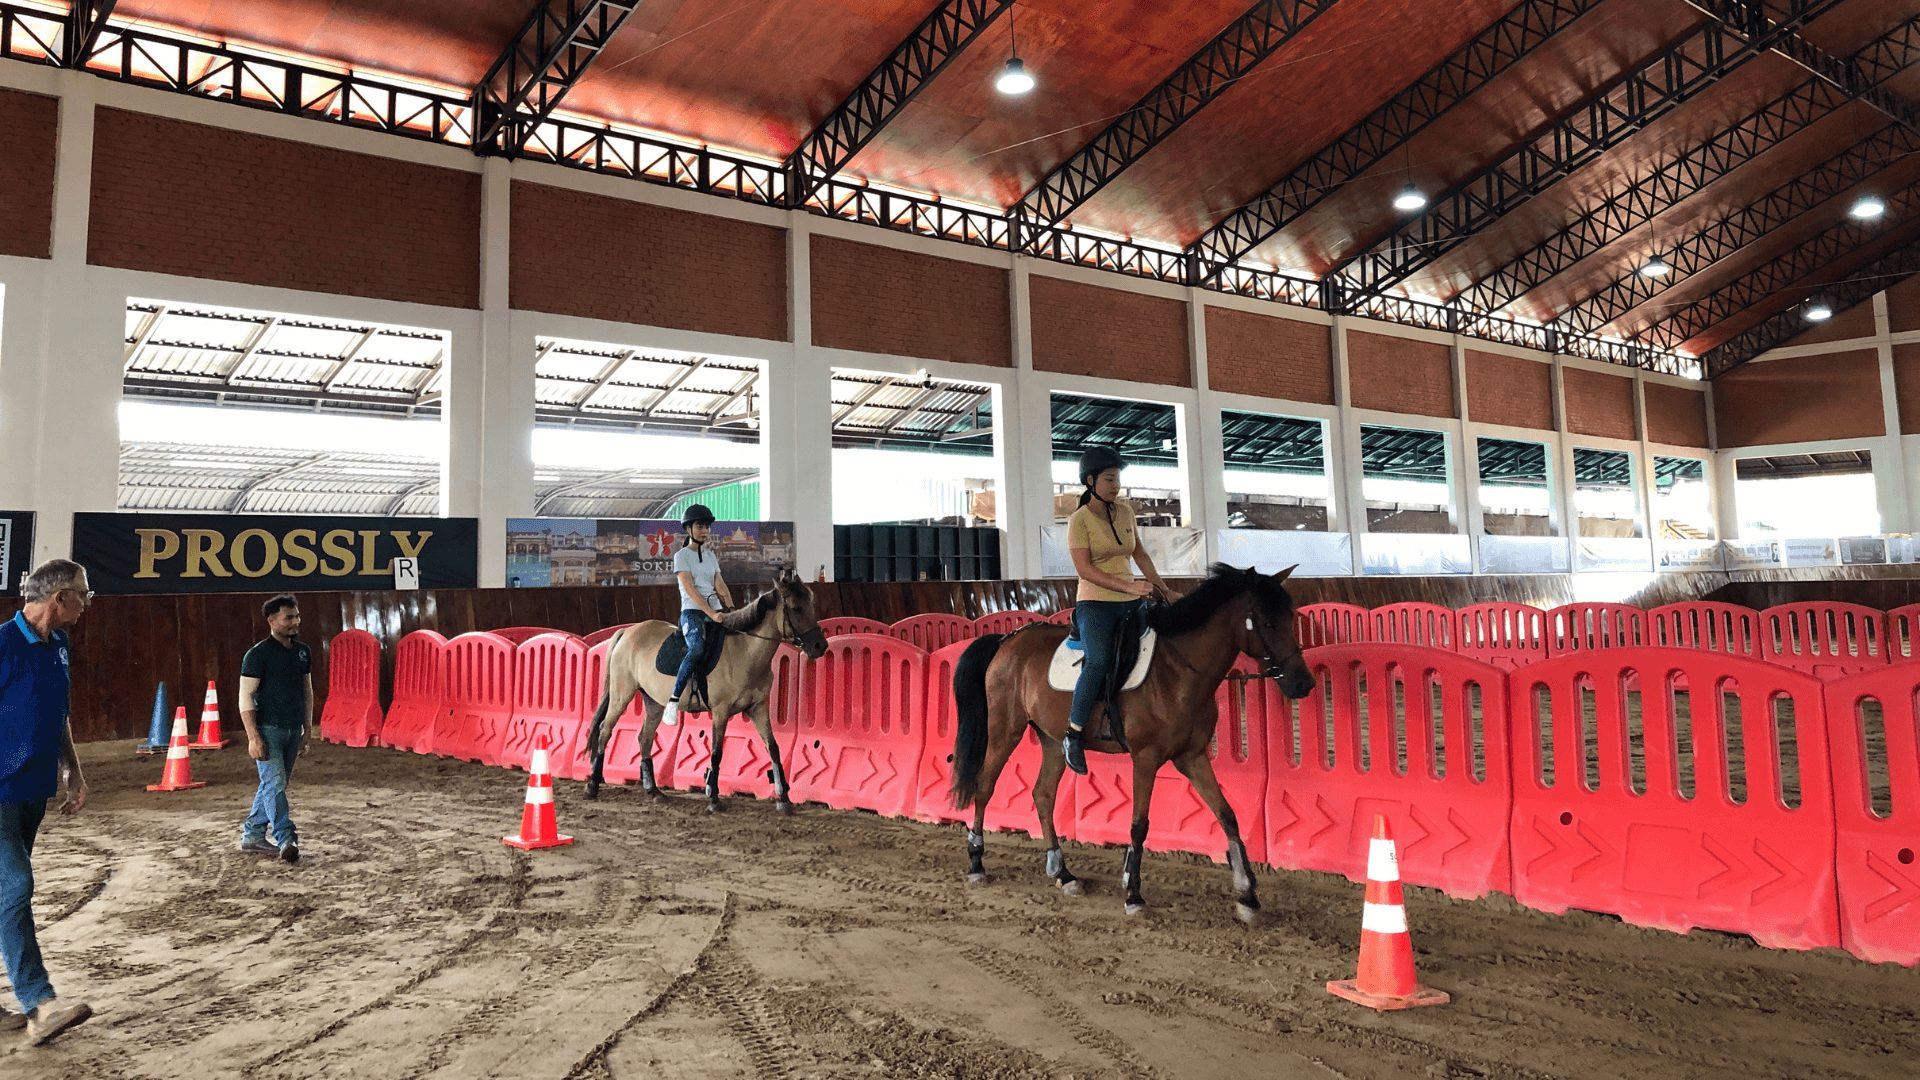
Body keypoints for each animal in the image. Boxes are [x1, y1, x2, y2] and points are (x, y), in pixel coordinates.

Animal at [579, 572, 829, 807]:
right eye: (795, 608)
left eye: (811, 604)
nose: (820, 646)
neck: (744, 651)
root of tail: (628, 632)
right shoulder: (720, 711)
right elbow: (717, 752)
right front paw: (714, 798)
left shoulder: (758, 708)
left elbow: (773, 748)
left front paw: (784, 800)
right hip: (621, 695)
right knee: (605, 731)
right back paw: (592, 786)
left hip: (653, 702)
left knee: (645, 738)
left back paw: (654, 791)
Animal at [948, 564, 1313, 914]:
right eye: (1267, 623)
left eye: (1291, 618)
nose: (1303, 683)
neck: (1177, 671)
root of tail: (1007, 641)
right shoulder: (1145, 758)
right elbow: (1139, 824)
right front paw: (1133, 892)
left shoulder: (1192, 757)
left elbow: (1227, 815)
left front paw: (1247, 894)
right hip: (1004, 730)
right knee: (985, 787)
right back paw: (977, 864)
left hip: (1051, 740)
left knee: (1043, 795)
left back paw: (1064, 874)